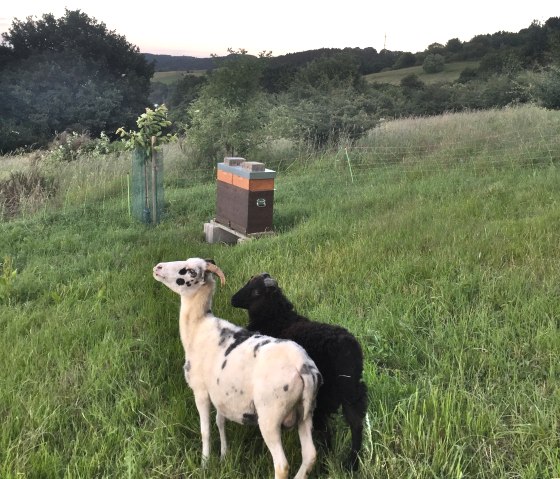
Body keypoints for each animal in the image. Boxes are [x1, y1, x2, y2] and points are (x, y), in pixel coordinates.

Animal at [153, 258, 322, 479]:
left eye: (190, 271)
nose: (157, 268)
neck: (198, 327)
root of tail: (303, 366)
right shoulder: (220, 393)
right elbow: (220, 422)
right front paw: (224, 456)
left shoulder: (201, 391)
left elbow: (205, 431)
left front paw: (205, 464)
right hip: (306, 412)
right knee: (310, 455)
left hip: (270, 414)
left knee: (282, 465)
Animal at [230, 272, 370, 470]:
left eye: (256, 291)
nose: (233, 299)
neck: (278, 318)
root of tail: (349, 350)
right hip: (352, 393)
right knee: (356, 424)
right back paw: (352, 463)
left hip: (322, 397)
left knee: (326, 432)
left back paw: (325, 464)